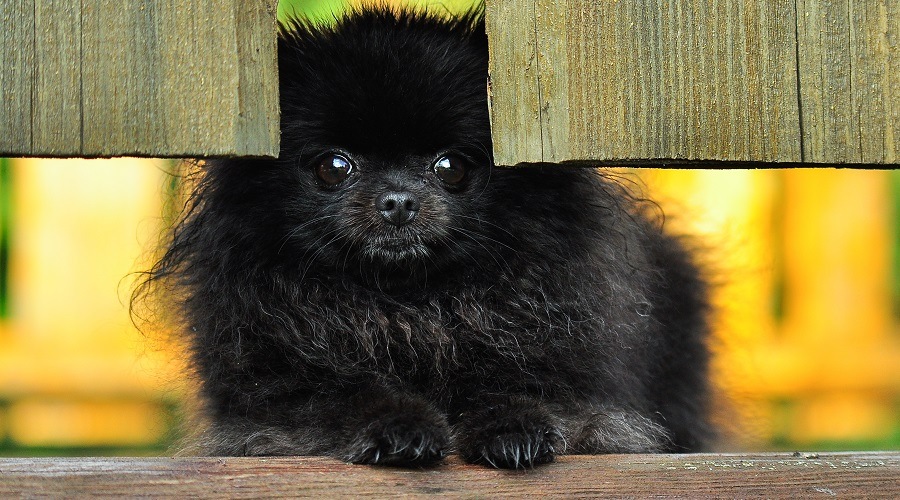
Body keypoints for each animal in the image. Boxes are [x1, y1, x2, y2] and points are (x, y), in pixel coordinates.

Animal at [139, 6, 712, 468]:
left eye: (451, 168)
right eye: (332, 167)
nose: (397, 200)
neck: (410, 307)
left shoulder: (570, 380)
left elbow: (521, 390)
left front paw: (515, 427)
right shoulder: (277, 398)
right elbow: (347, 398)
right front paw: (399, 427)